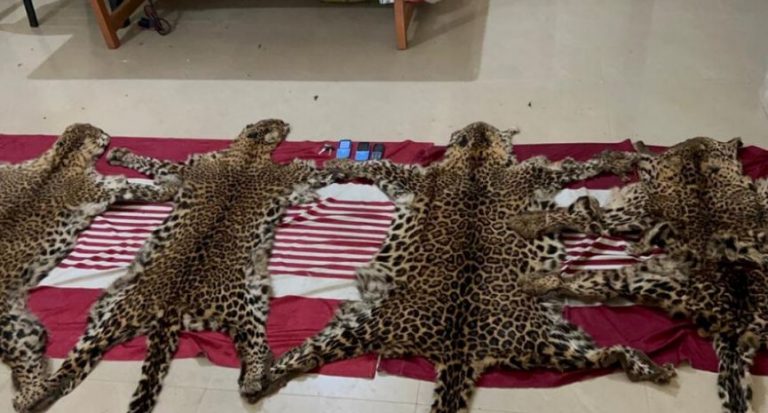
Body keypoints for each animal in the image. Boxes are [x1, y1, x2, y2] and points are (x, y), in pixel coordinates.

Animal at [0, 123, 177, 410]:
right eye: (98, 131)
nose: (108, 133)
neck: (63, 159)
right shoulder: (112, 188)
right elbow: (147, 189)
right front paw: (170, 185)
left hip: (27, 329)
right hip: (16, 331)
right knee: (37, 387)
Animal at [18, 119, 340, 413]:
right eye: (276, 122)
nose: (286, 123)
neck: (248, 152)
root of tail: (171, 306)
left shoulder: (186, 171)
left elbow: (156, 164)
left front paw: (120, 154)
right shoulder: (285, 175)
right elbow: (315, 172)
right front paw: (341, 166)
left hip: (113, 316)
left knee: (76, 363)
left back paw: (35, 396)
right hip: (242, 308)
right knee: (257, 349)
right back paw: (255, 380)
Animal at [253, 121, 675, 413]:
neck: (476, 159)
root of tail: (457, 351)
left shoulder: (413, 177)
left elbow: (377, 164)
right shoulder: (539, 173)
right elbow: (582, 164)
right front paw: (621, 157)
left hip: (364, 326)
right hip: (548, 340)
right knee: (605, 356)